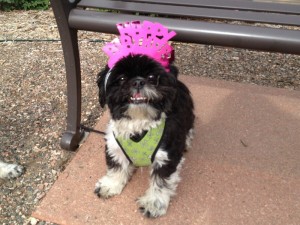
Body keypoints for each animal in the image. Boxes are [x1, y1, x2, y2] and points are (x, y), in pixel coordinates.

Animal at [95, 53, 196, 217]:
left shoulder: (166, 158)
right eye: (121, 78)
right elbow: (116, 168)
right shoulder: (115, 148)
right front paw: (110, 185)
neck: (138, 125)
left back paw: (186, 141)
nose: (138, 81)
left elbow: (161, 182)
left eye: (151, 77)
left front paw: (153, 203)